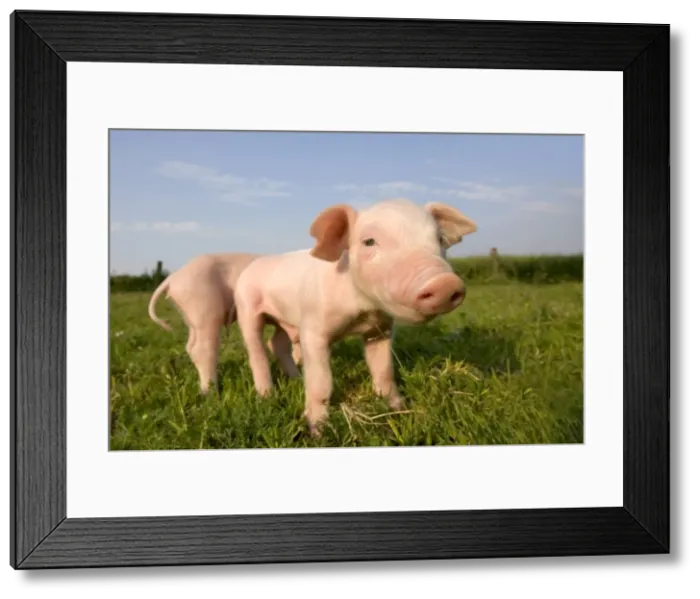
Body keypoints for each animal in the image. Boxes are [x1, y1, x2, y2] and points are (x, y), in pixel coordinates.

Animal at [147, 252, 303, 394]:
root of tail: (172, 278)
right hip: (205, 309)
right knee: (203, 348)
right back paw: (210, 393)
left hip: (192, 318)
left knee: (191, 346)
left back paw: (296, 378)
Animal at [233, 197, 477, 437]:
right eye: (369, 242)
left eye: (440, 239)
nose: (445, 283)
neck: (361, 311)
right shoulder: (312, 329)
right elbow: (321, 381)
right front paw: (318, 431)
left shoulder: (380, 330)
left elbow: (383, 370)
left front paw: (398, 409)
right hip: (246, 307)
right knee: (257, 350)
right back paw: (266, 396)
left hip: (283, 320)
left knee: (276, 343)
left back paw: (296, 379)